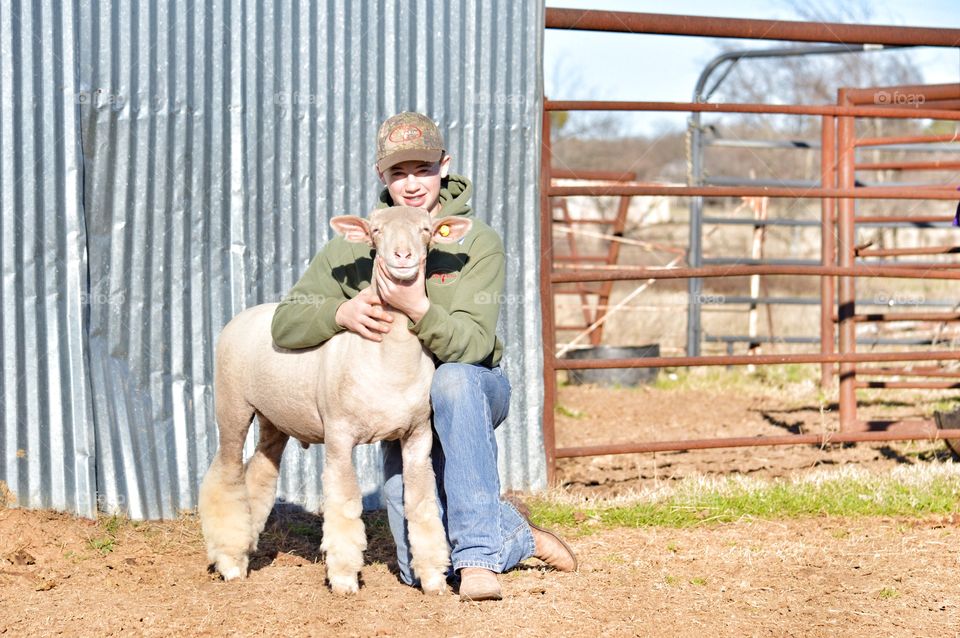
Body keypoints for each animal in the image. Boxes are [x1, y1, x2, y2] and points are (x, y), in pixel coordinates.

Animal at [198, 208, 472, 596]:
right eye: (376, 230)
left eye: (425, 229)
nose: (402, 256)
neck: (389, 359)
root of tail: (246, 313)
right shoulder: (339, 434)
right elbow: (344, 502)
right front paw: (343, 578)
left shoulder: (418, 435)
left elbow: (422, 504)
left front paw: (433, 578)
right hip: (232, 403)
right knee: (226, 475)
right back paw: (230, 562)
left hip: (274, 418)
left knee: (261, 473)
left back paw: (247, 545)